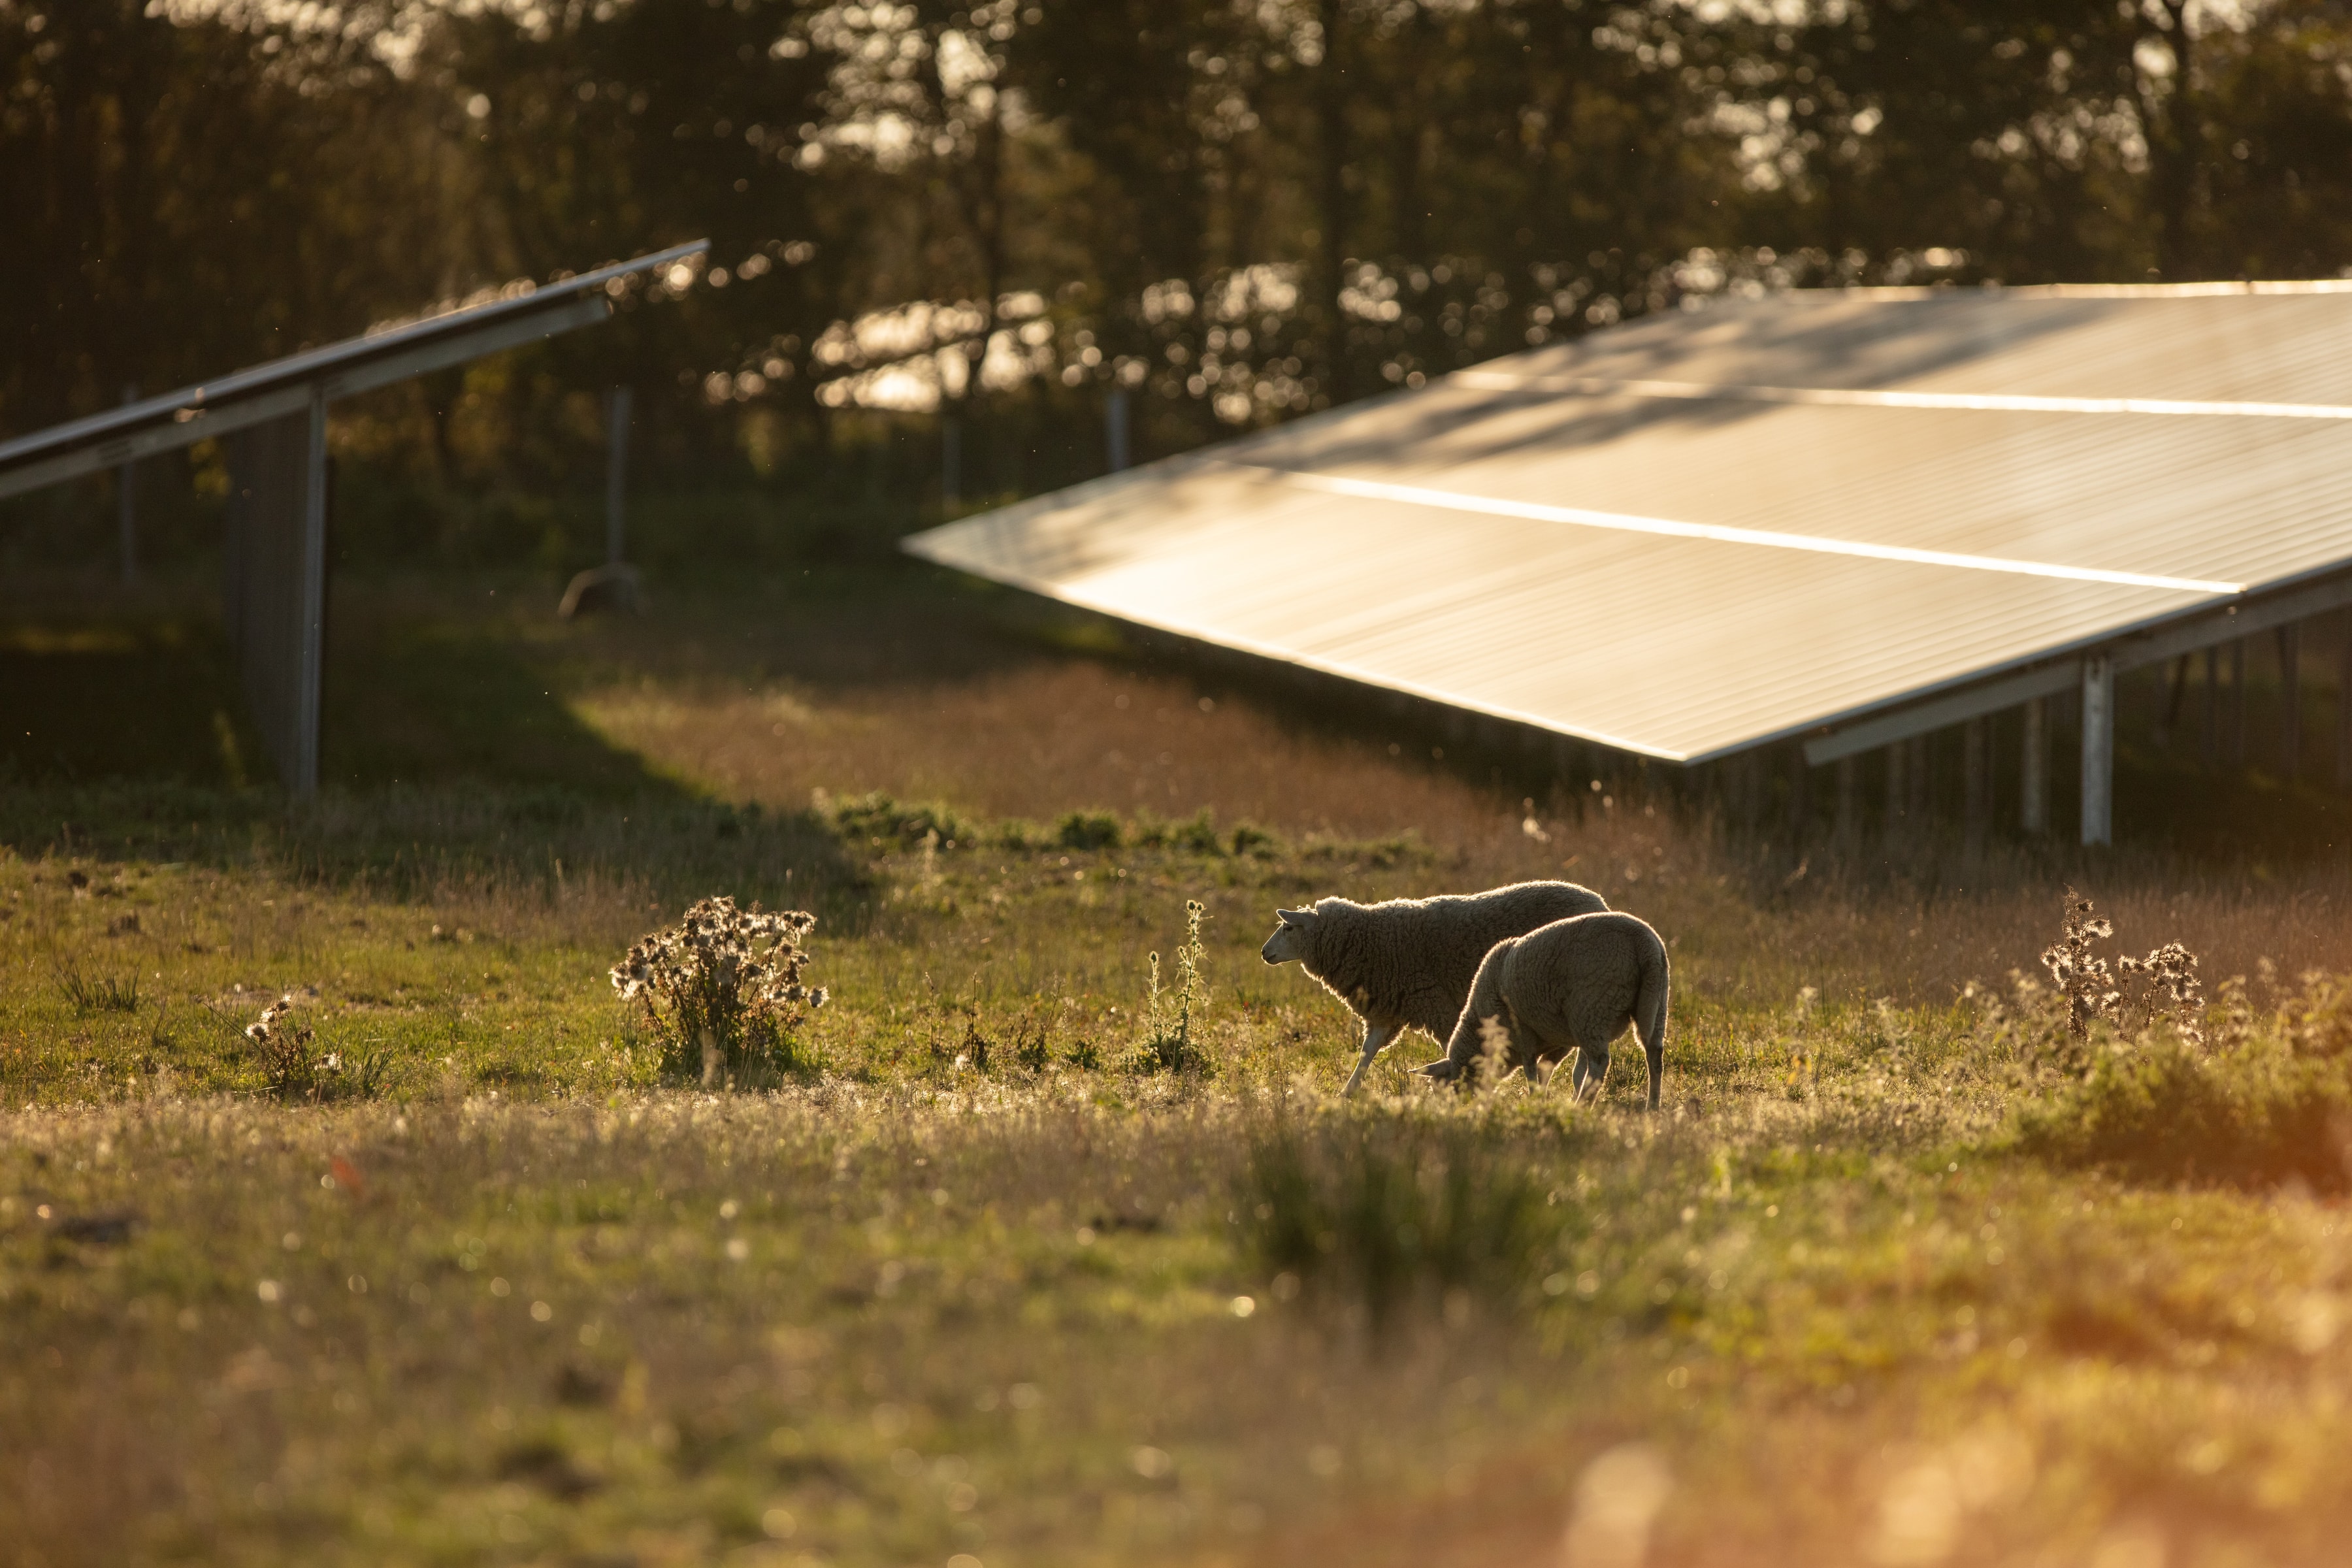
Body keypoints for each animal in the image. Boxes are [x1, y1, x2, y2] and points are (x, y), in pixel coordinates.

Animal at [1260, 879, 1609, 1100]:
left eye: (1288, 928)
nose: (1264, 953)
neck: (1368, 940)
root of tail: (1599, 902)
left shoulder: (1435, 1004)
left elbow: (1449, 1048)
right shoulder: (1387, 1012)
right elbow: (1366, 1053)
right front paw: (1346, 1093)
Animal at [1411, 907, 1674, 1114]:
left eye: (1442, 1088)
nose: (1449, 1111)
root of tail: (1644, 944)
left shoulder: (1523, 1037)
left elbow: (1531, 1072)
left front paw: (1534, 1102)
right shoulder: (1558, 1040)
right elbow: (1547, 1071)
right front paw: (1543, 1100)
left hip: (1592, 1008)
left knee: (1600, 1062)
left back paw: (1582, 1105)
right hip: (1656, 1002)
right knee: (1654, 1055)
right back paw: (1653, 1106)